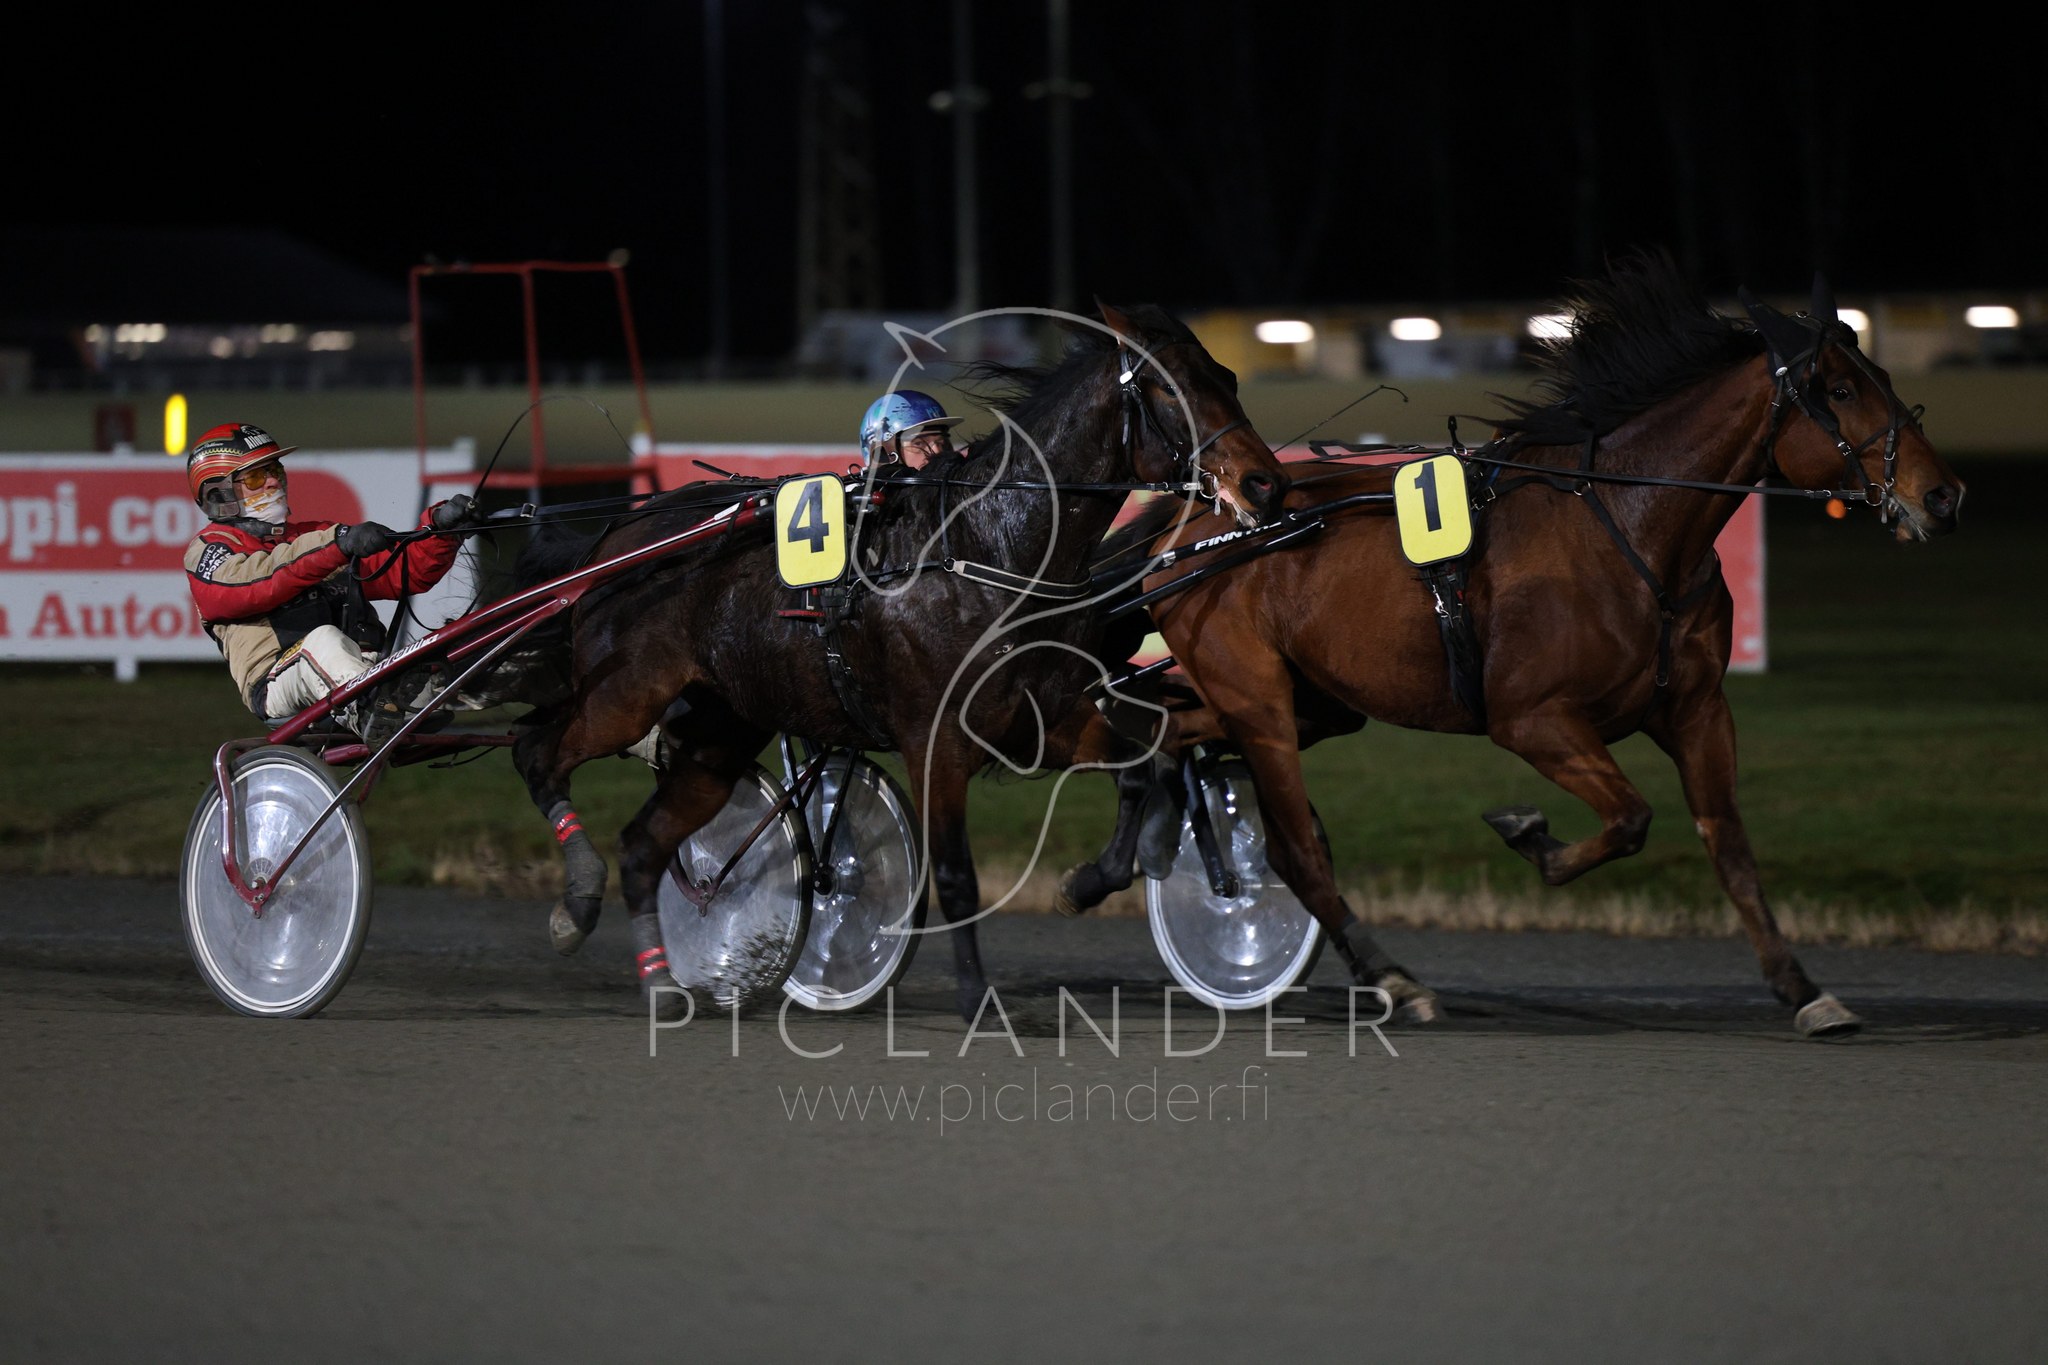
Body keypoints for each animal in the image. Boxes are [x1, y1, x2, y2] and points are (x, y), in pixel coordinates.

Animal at [502, 303, 1290, 1019]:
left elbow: (1139, 769)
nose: (1265, 483)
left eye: (1226, 376)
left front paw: (1092, 878)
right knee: (537, 753)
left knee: (642, 845)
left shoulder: (1038, 721)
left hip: (716, 737)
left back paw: (662, 981)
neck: (983, 550)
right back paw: (578, 900)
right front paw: (976, 998)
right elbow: (956, 873)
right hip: (623, 695)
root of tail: (617, 536)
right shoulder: (934, 739)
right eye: (1170, 392)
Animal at [1073, 255, 1965, 1036]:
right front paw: (1529, 833)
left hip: (1310, 700)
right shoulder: (1533, 719)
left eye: (1886, 381)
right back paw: (1388, 974)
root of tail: (1202, 517)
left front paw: (1806, 990)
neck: (1631, 533)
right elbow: (1631, 818)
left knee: (1160, 734)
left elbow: (1731, 845)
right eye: (1841, 390)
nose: (1943, 495)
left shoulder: (1699, 710)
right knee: (1288, 841)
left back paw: (1111, 861)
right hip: (1256, 694)